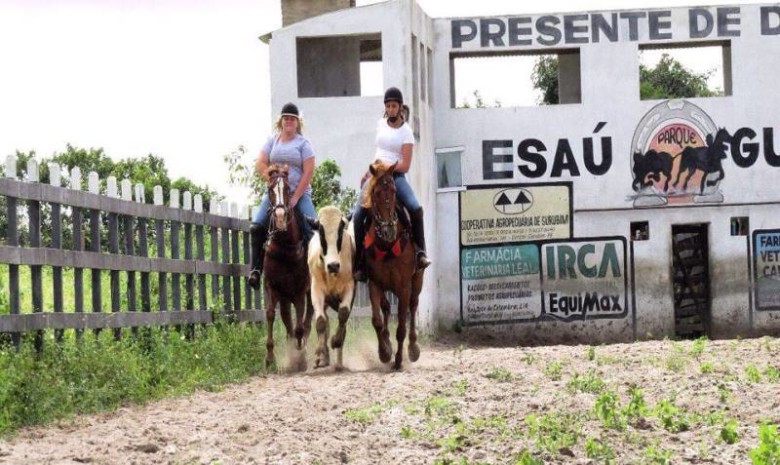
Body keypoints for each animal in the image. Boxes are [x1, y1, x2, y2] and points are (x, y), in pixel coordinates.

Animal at [306, 207, 354, 370]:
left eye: (340, 231)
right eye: (321, 232)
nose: (333, 265)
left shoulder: (350, 287)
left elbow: (344, 314)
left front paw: (335, 341)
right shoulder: (316, 290)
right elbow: (321, 321)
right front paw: (319, 353)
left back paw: (339, 363)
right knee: (323, 319)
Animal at [362, 160, 424, 370]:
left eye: (395, 191)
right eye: (375, 192)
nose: (389, 229)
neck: (387, 245)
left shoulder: (404, 287)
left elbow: (402, 326)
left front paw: (398, 359)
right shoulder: (374, 284)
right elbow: (377, 320)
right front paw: (384, 352)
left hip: (417, 279)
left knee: (413, 306)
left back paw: (413, 348)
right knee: (387, 308)